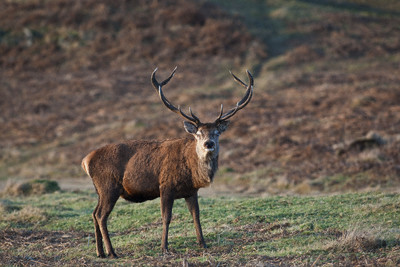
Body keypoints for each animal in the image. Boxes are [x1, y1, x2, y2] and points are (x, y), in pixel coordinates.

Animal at [81, 66, 253, 258]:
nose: (209, 144)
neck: (193, 172)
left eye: (216, 132)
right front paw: (164, 247)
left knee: (94, 213)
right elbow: (166, 217)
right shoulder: (166, 186)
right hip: (108, 186)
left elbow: (196, 216)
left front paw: (203, 244)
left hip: (100, 190)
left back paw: (100, 252)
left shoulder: (191, 191)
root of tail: (85, 160)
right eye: (198, 133)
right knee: (101, 215)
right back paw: (112, 252)